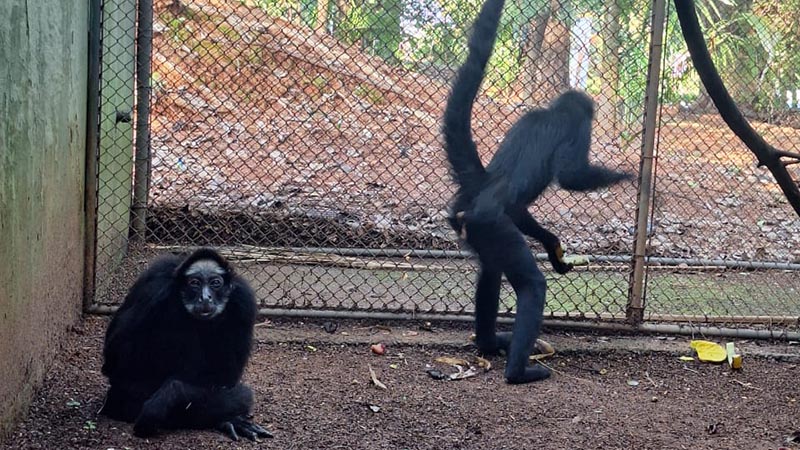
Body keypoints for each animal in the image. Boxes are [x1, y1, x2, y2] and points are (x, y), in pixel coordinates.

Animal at [99, 248, 272, 441]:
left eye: (215, 283)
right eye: (194, 283)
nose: (205, 297)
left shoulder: (243, 300)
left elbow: (225, 376)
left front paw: (170, 395)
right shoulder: (154, 283)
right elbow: (113, 358)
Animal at [442, 0, 633, 384]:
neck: (548, 111)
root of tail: (483, 183)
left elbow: (522, 210)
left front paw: (552, 245)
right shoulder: (577, 126)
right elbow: (571, 177)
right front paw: (628, 175)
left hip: (474, 227)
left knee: (490, 271)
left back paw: (489, 344)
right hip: (493, 226)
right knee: (532, 285)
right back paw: (518, 372)